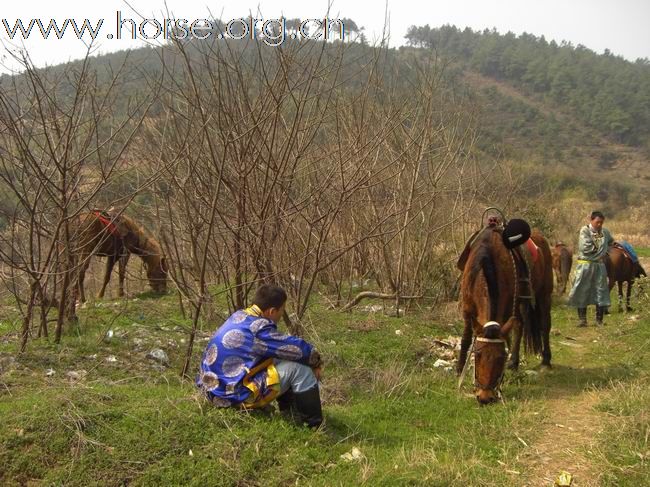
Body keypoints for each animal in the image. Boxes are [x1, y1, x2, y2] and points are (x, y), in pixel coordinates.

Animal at [456, 227, 552, 406]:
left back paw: (546, 360)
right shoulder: (467, 308)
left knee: (545, 325)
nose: (485, 397)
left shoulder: (507, 306)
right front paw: (459, 370)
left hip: (544, 294)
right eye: (478, 355)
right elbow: (465, 338)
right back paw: (514, 362)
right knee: (520, 325)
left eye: (501, 357)